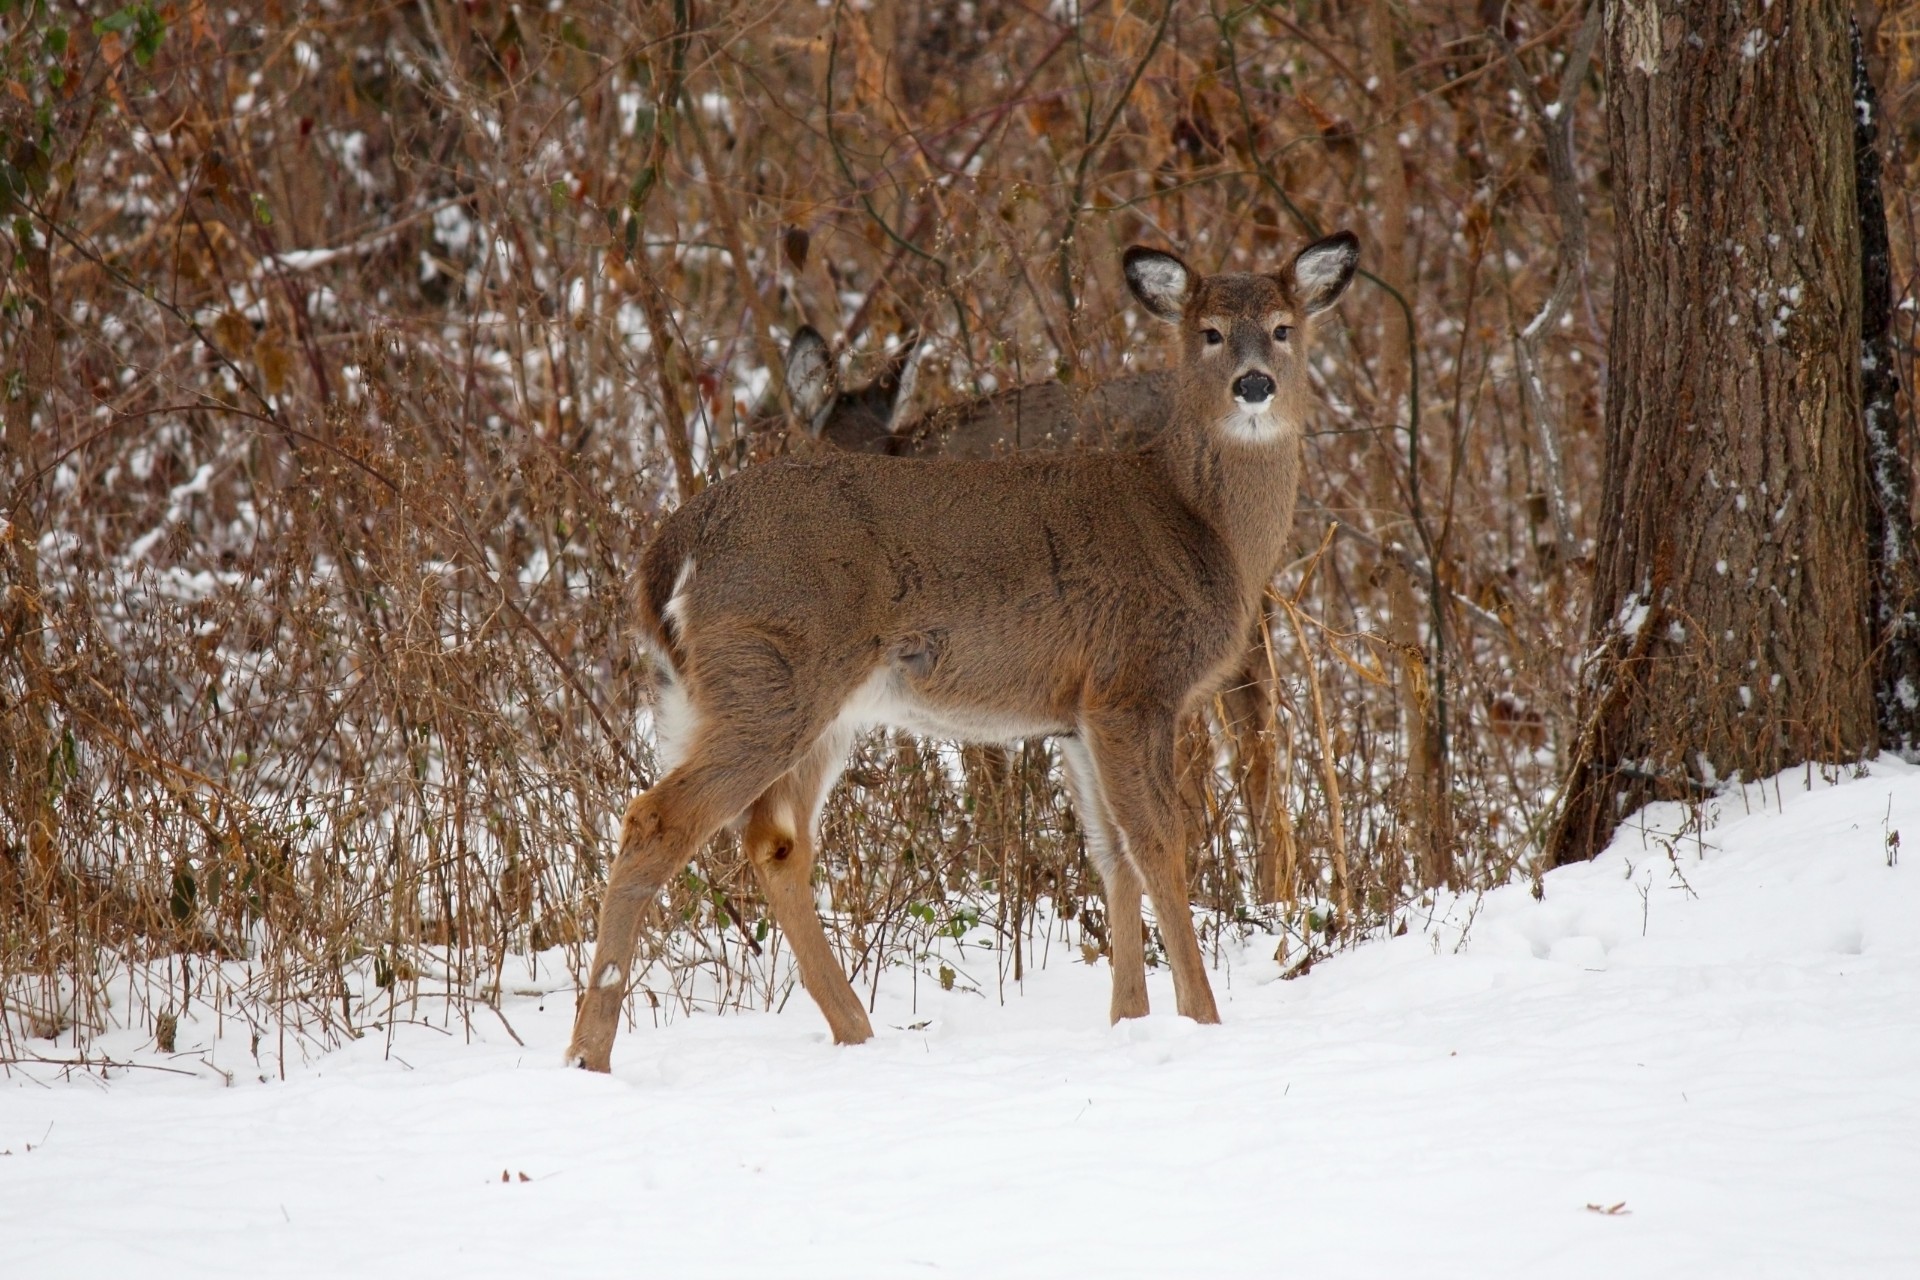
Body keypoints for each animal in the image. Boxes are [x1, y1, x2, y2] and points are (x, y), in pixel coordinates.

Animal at [568, 233, 1367, 1074]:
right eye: (1209, 332)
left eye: (1283, 328)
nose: (1255, 383)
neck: (1201, 525)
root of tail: (667, 554)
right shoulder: (1133, 682)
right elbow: (1159, 843)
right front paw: (1203, 1018)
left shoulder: (1078, 713)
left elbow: (1110, 855)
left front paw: (1129, 1020)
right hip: (771, 679)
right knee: (658, 820)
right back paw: (590, 1052)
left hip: (791, 703)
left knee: (777, 842)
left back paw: (854, 1029)